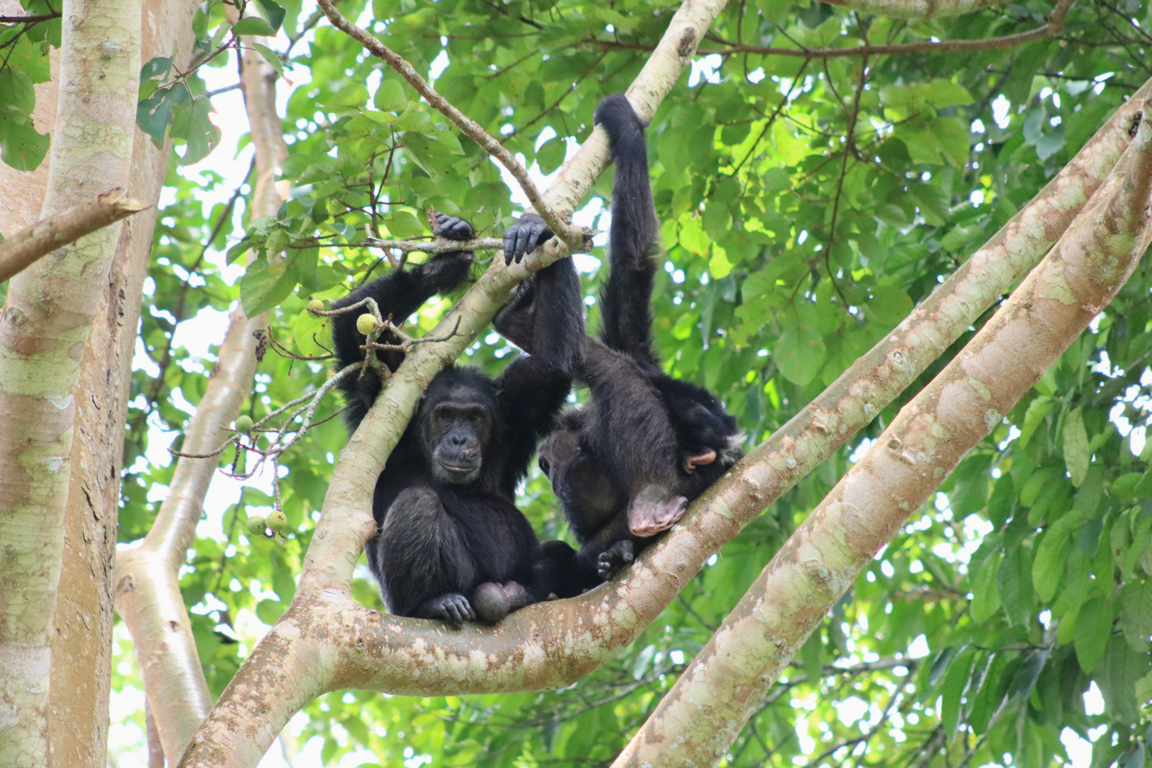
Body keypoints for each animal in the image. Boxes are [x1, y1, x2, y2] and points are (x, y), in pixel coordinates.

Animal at [334, 211, 585, 626]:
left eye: (474, 419)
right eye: (447, 415)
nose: (459, 439)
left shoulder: (519, 405)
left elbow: (552, 362)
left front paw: (534, 229)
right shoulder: (379, 394)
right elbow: (352, 329)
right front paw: (441, 264)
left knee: (556, 552)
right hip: (407, 603)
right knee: (418, 503)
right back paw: (435, 603)